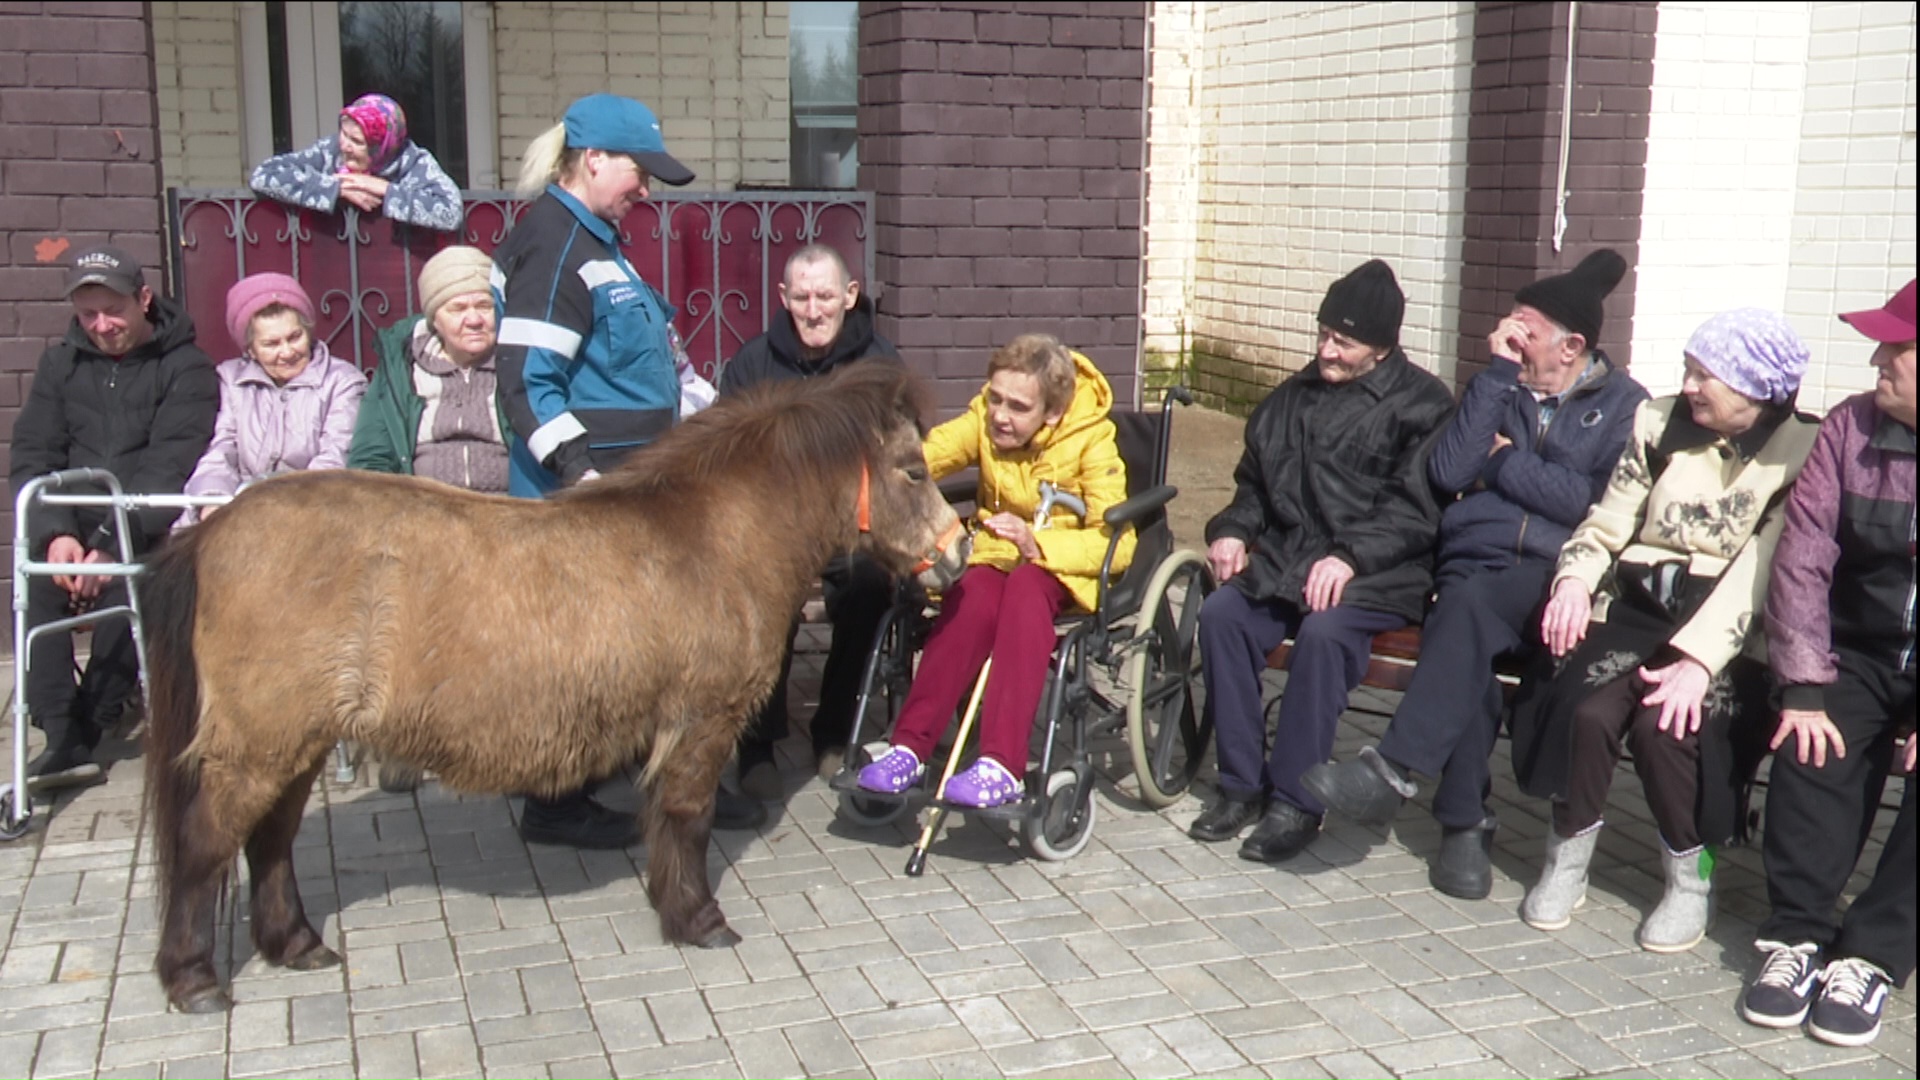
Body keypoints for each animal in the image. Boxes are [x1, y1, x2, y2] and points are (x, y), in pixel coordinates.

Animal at [138, 362, 967, 1013]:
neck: (711, 537)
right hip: (260, 742)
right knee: (207, 842)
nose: (958, 556)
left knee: (269, 840)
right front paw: (696, 919)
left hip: (295, 740)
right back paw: (193, 979)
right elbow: (689, 817)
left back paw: (294, 943)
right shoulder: (702, 722)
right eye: (913, 470)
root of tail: (211, 532)